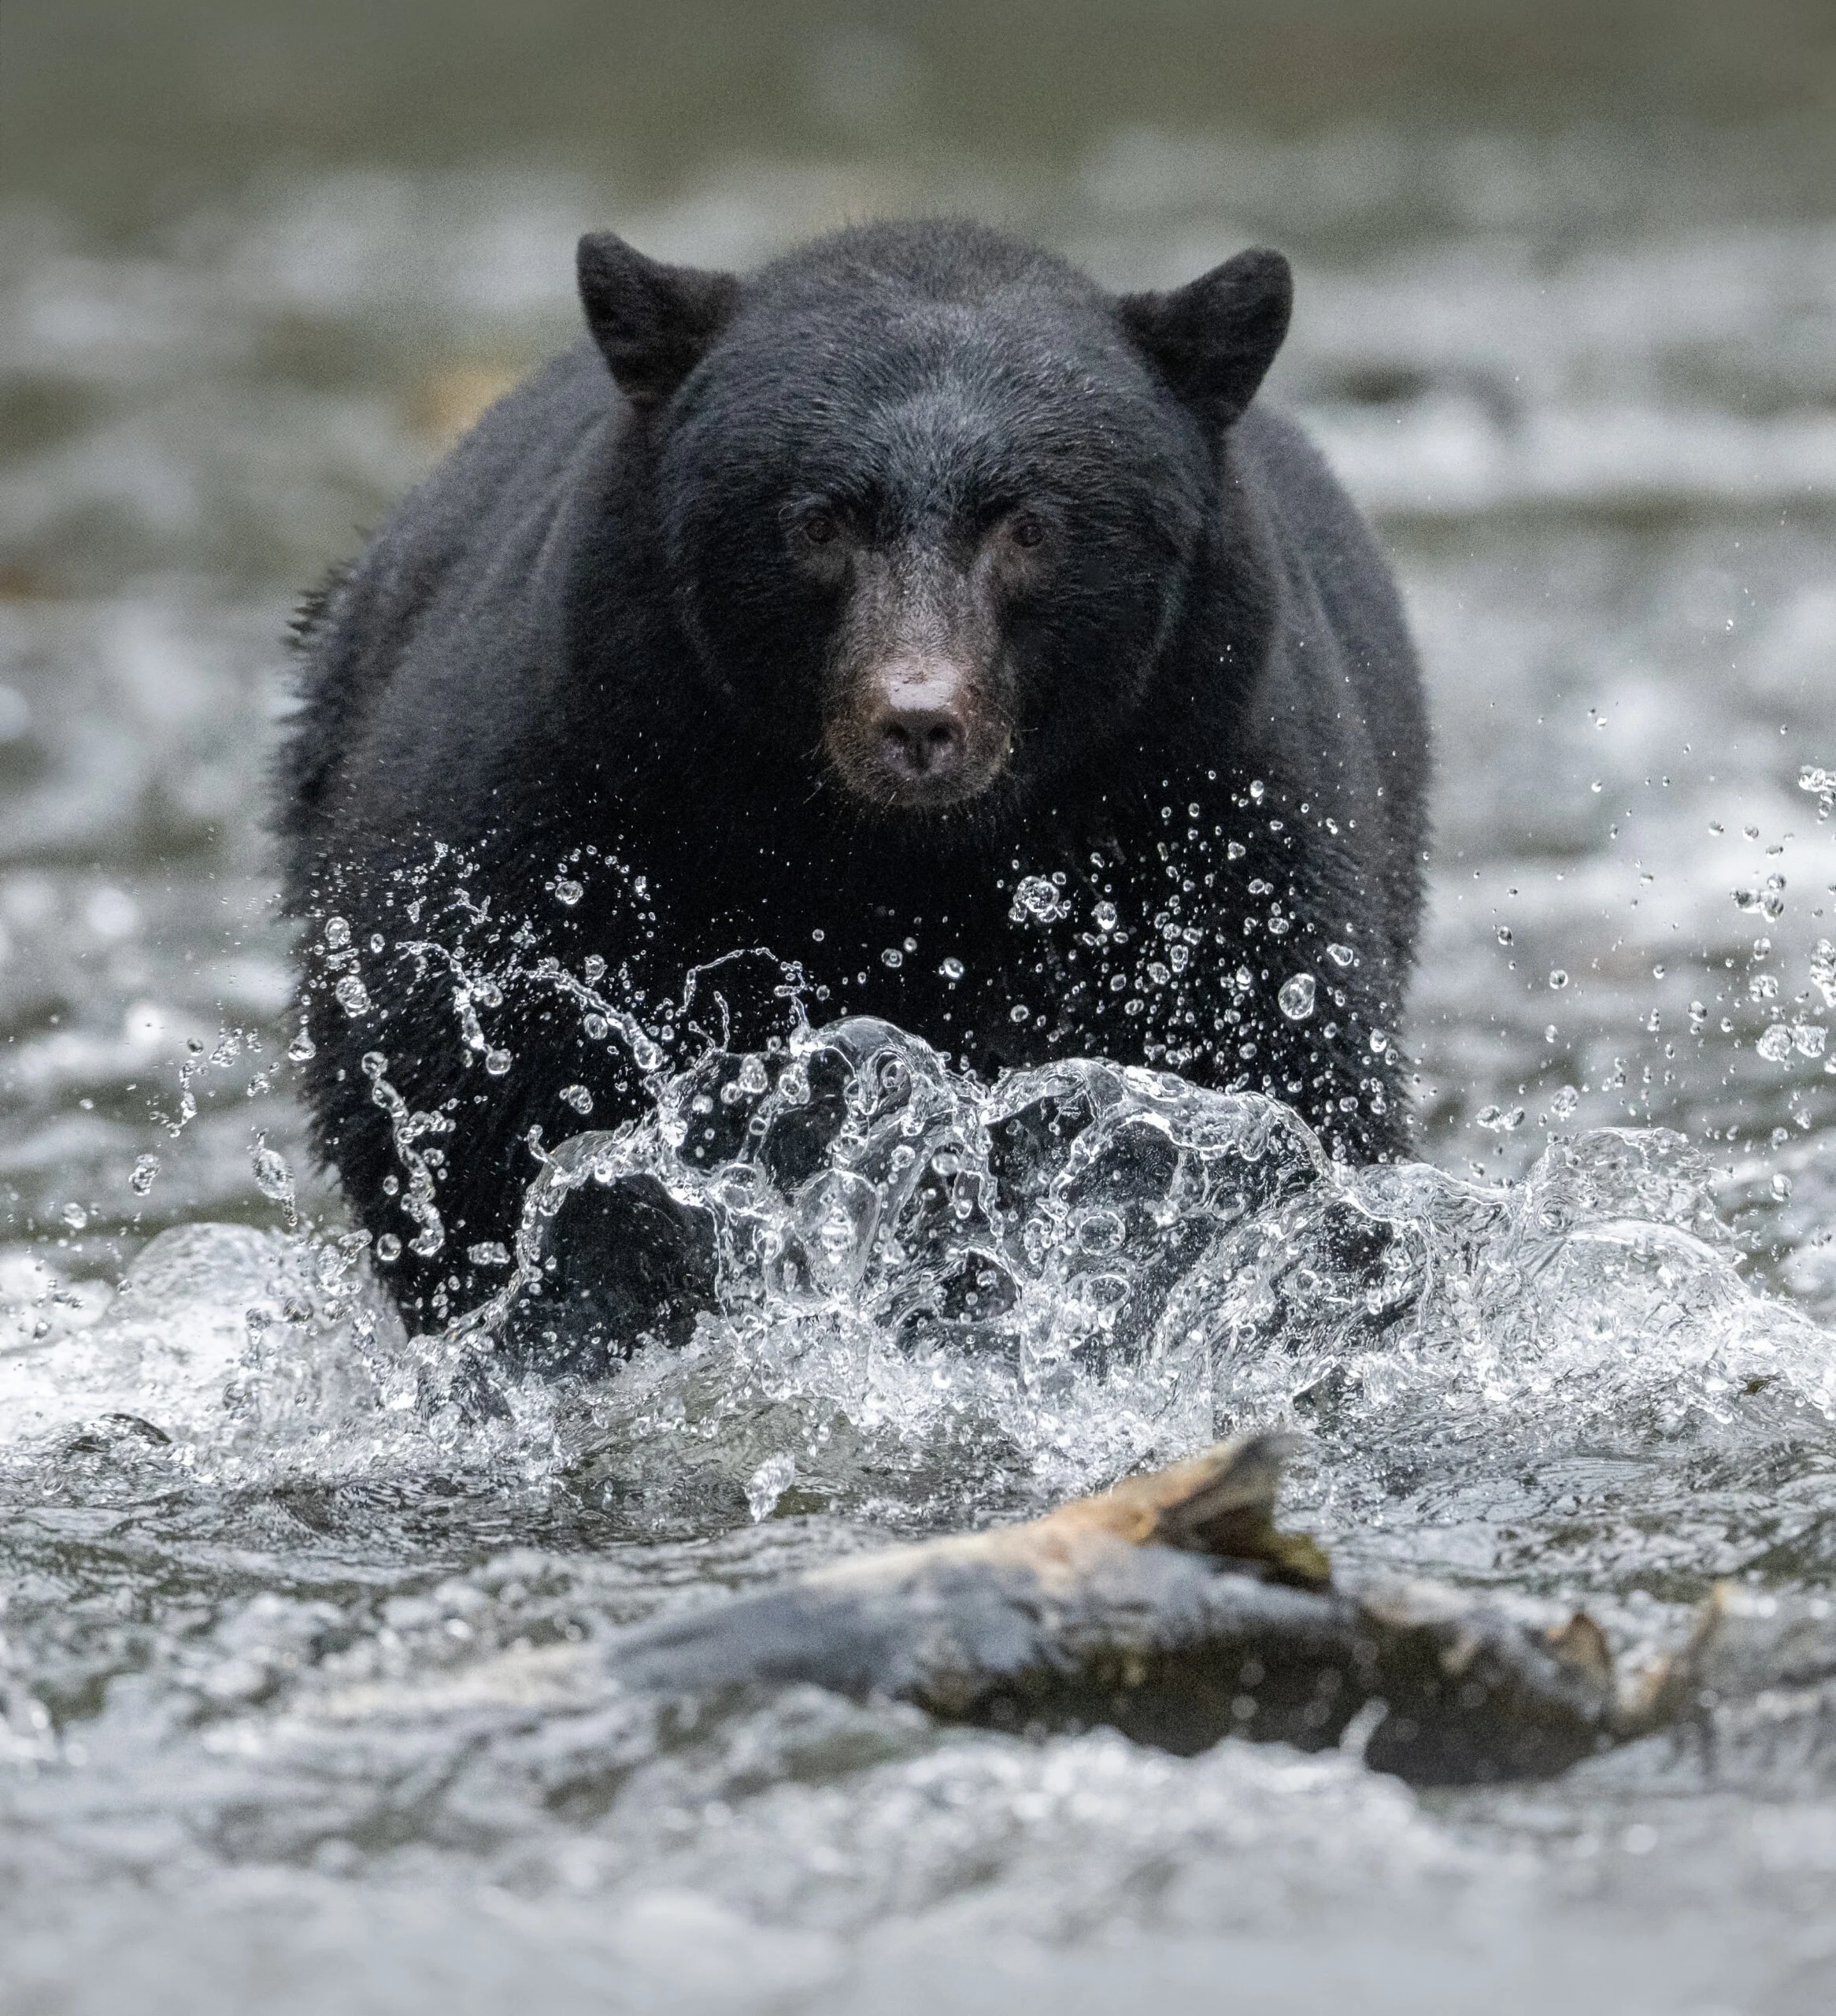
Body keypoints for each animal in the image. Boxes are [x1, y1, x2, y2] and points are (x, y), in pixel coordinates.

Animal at [276, 219, 1429, 1358]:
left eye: (1029, 525)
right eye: (819, 521)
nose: (917, 720)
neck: (898, 864)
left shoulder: (1211, 831)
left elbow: (1258, 1085)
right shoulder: (564, 804)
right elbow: (476, 1085)